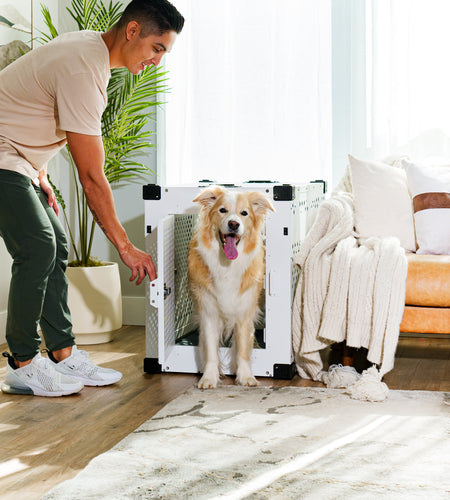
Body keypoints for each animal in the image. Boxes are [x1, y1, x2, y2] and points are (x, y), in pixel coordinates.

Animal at [187, 186, 274, 388]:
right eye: (222, 210)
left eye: (244, 213)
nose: (234, 224)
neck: (227, 264)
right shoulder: (209, 312)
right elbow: (211, 349)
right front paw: (209, 378)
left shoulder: (244, 312)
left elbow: (242, 347)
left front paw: (246, 377)